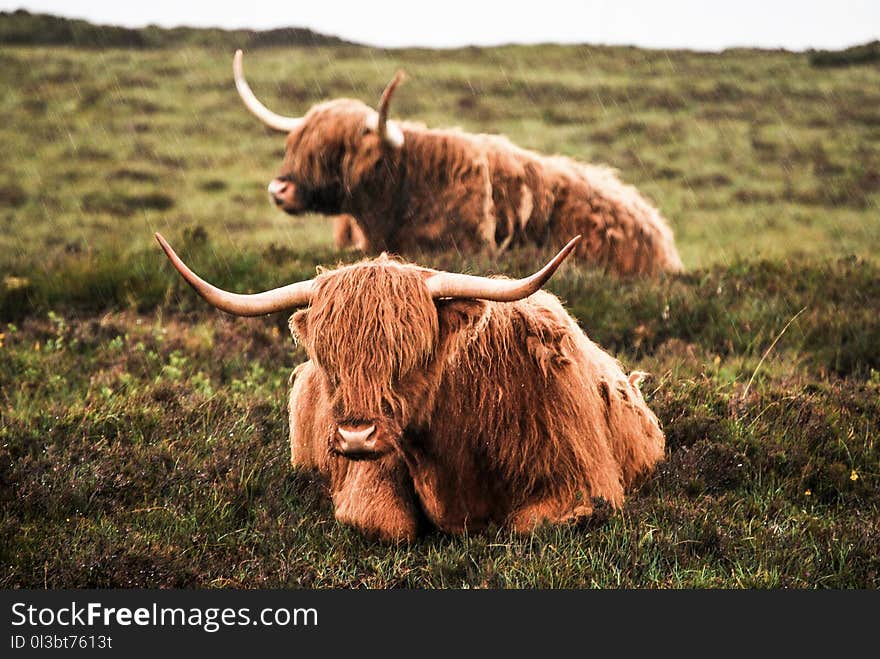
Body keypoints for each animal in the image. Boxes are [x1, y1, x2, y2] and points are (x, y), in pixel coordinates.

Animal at [158, 232, 668, 540]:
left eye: (408, 356)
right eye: (330, 360)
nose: (356, 436)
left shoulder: (583, 484)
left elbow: (524, 524)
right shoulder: (371, 477)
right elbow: (388, 524)